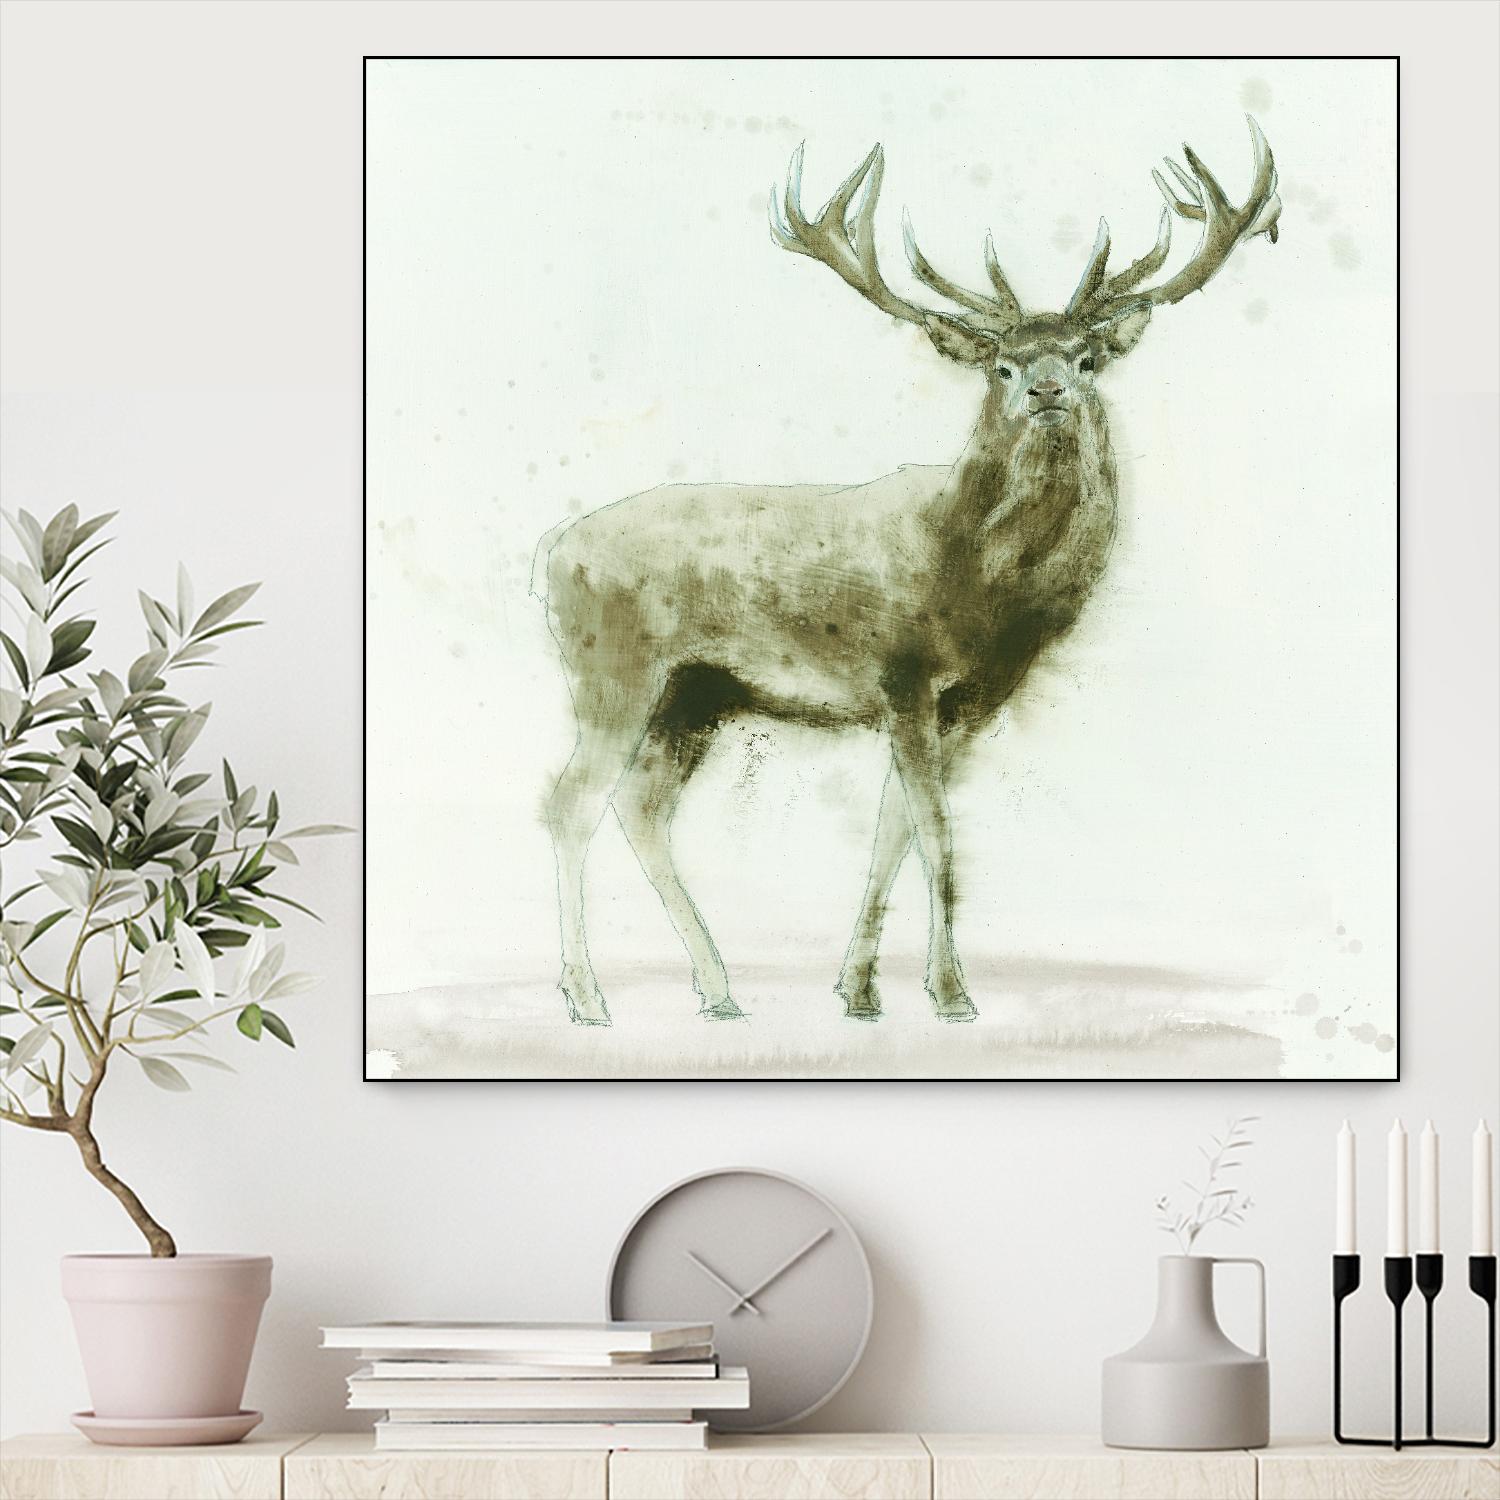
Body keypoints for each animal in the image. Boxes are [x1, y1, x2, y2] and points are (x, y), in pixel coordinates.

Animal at [536, 119, 1280, 1027]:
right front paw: (953, 994)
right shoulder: (902, 675)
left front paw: (858, 989)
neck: (977, 586)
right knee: (570, 803)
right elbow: (937, 833)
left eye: (1087, 358)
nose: (1046, 390)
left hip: (697, 694)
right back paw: (587, 998)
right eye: (1001, 364)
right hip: (613, 669)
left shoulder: (963, 703)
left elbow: (893, 828)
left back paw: (717, 989)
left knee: (640, 808)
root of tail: (548, 556)